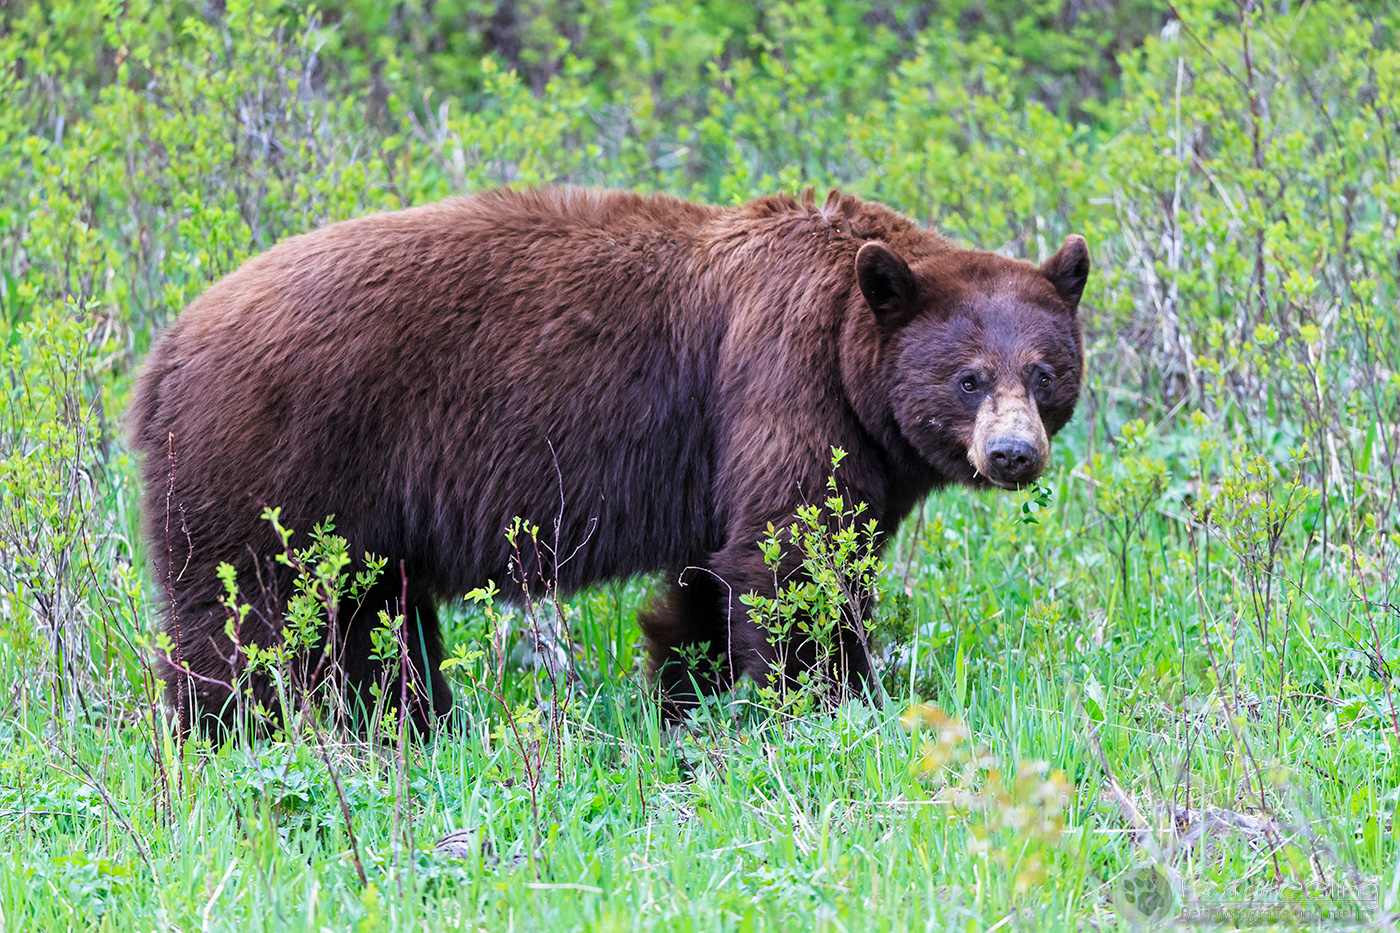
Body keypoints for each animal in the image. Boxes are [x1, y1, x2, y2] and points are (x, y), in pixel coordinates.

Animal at [128, 186, 1088, 733]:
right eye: (969, 377)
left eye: (1045, 372)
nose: (1012, 453)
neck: (849, 341)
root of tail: (163, 355)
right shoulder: (783, 378)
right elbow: (793, 556)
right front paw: (833, 702)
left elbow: (717, 571)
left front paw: (686, 697)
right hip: (273, 456)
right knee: (243, 616)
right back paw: (226, 736)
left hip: (353, 509)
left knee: (368, 621)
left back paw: (402, 726)